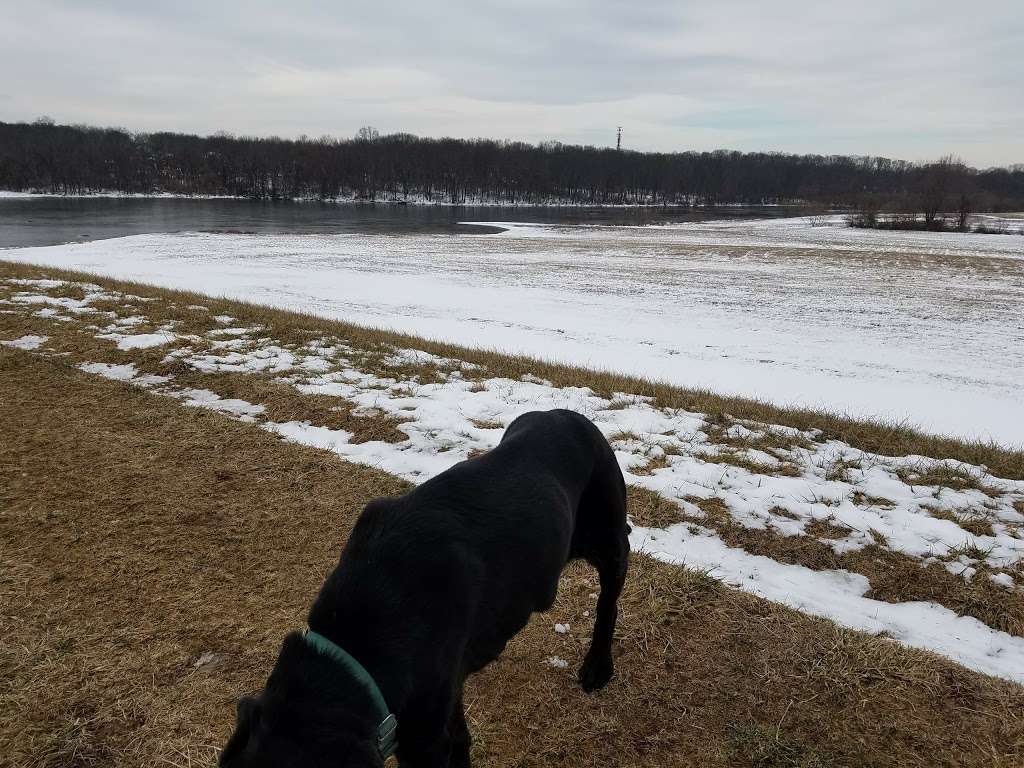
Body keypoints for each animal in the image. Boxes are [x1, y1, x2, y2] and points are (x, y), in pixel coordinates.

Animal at [220, 411, 626, 765]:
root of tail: (574, 417)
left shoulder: (424, 736)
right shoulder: (443, 702)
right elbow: (461, 740)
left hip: (611, 542)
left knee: (608, 605)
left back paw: (597, 666)